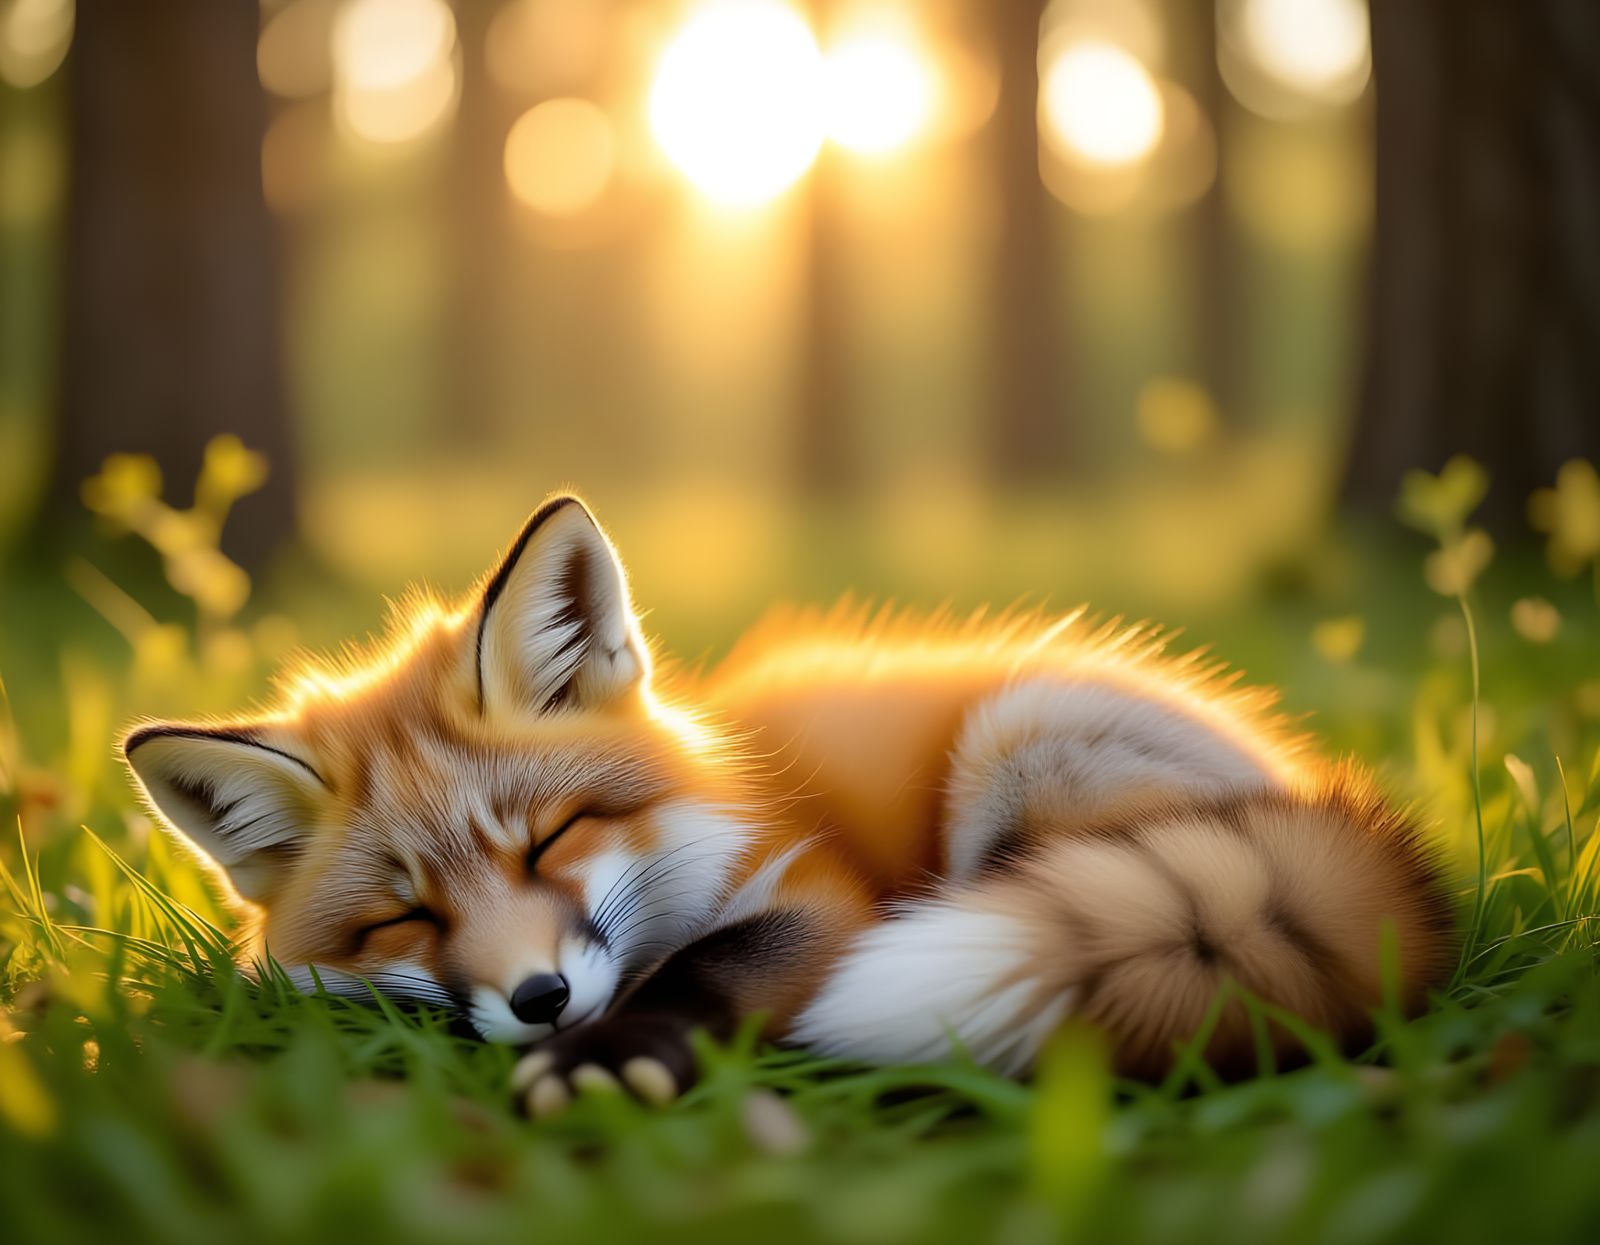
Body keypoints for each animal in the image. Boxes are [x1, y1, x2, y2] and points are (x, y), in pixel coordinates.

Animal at [124, 494, 1455, 1113]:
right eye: (405, 919)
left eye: (554, 838)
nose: (541, 1000)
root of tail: (1328, 805)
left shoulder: (820, 896)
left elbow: (703, 970)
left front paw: (611, 1058)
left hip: (1014, 748)